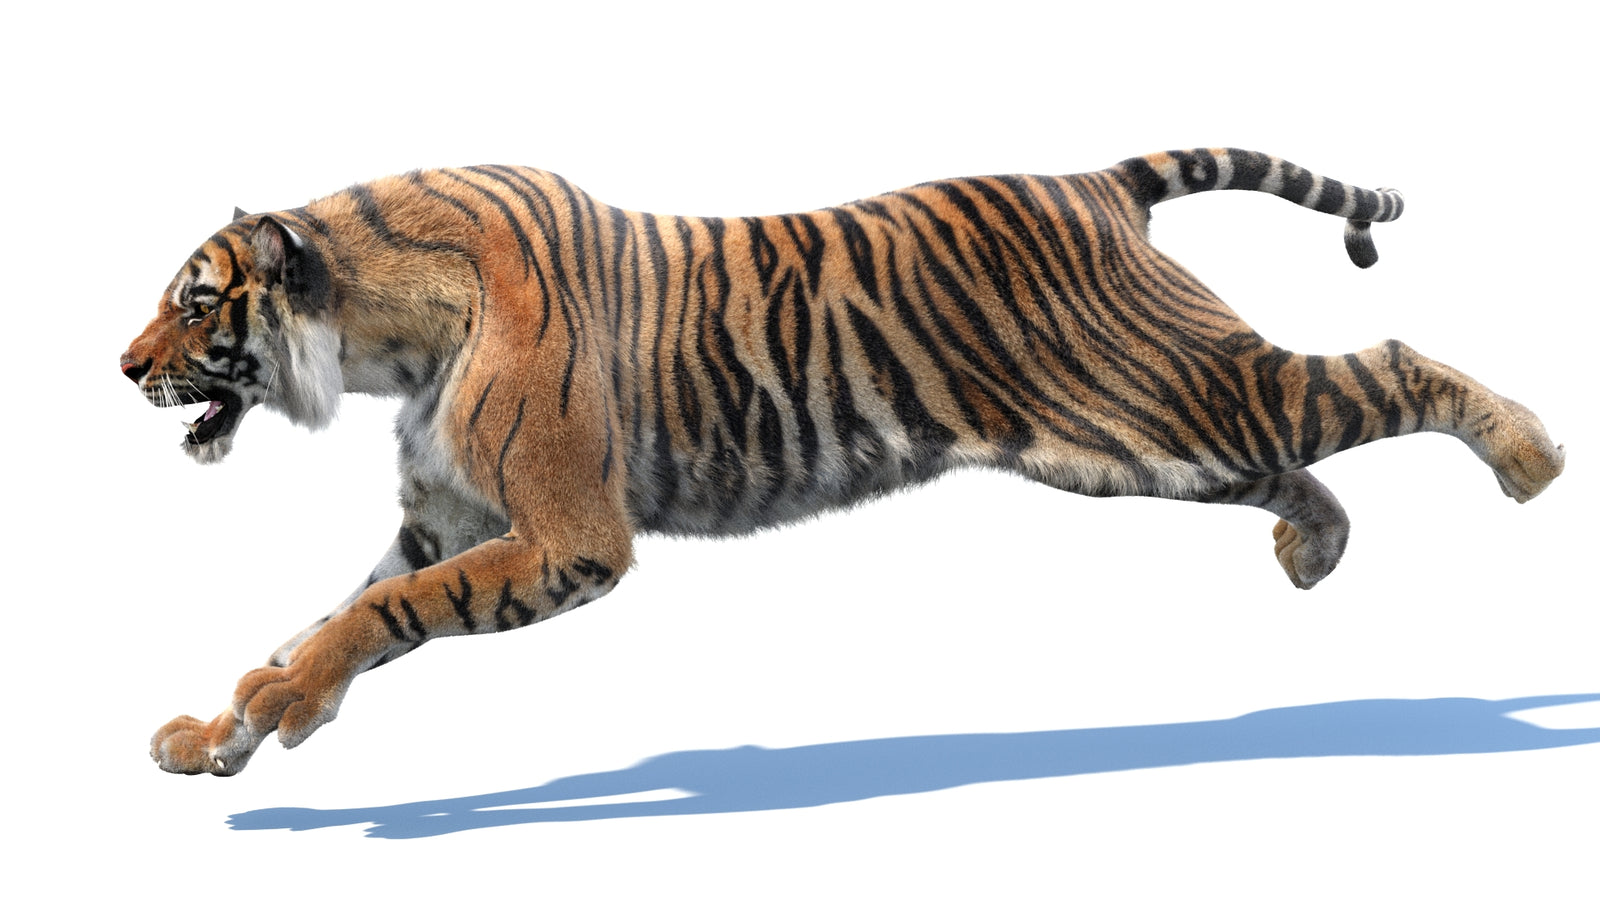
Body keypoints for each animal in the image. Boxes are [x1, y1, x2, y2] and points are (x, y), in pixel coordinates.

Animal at [122, 148, 1565, 776]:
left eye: (197, 304)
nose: (123, 367)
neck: (382, 339)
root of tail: (1098, 180)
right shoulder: (455, 517)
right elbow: (345, 607)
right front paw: (228, 725)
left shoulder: (566, 538)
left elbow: (379, 615)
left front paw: (273, 709)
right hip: (1138, 440)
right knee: (1291, 466)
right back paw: (1312, 550)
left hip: (1173, 397)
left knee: (1379, 361)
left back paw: (1533, 456)